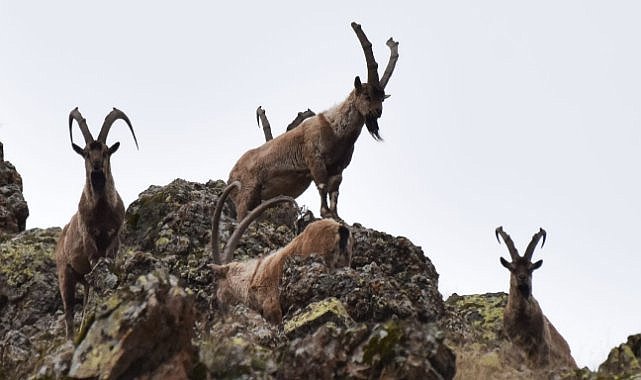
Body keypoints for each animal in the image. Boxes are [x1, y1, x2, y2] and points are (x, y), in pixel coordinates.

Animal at [56, 107, 139, 338]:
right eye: (85, 153)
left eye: (106, 151)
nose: (97, 172)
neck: (102, 211)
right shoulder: (89, 237)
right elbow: (95, 259)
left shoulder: (114, 236)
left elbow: (108, 258)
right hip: (65, 274)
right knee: (68, 311)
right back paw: (71, 338)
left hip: (82, 279)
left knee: (84, 299)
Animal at [228, 22, 398, 220]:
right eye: (366, 95)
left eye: (382, 98)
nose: (378, 112)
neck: (336, 130)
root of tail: (231, 174)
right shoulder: (315, 160)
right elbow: (322, 188)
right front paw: (325, 213)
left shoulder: (338, 169)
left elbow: (335, 192)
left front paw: (337, 216)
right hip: (247, 190)